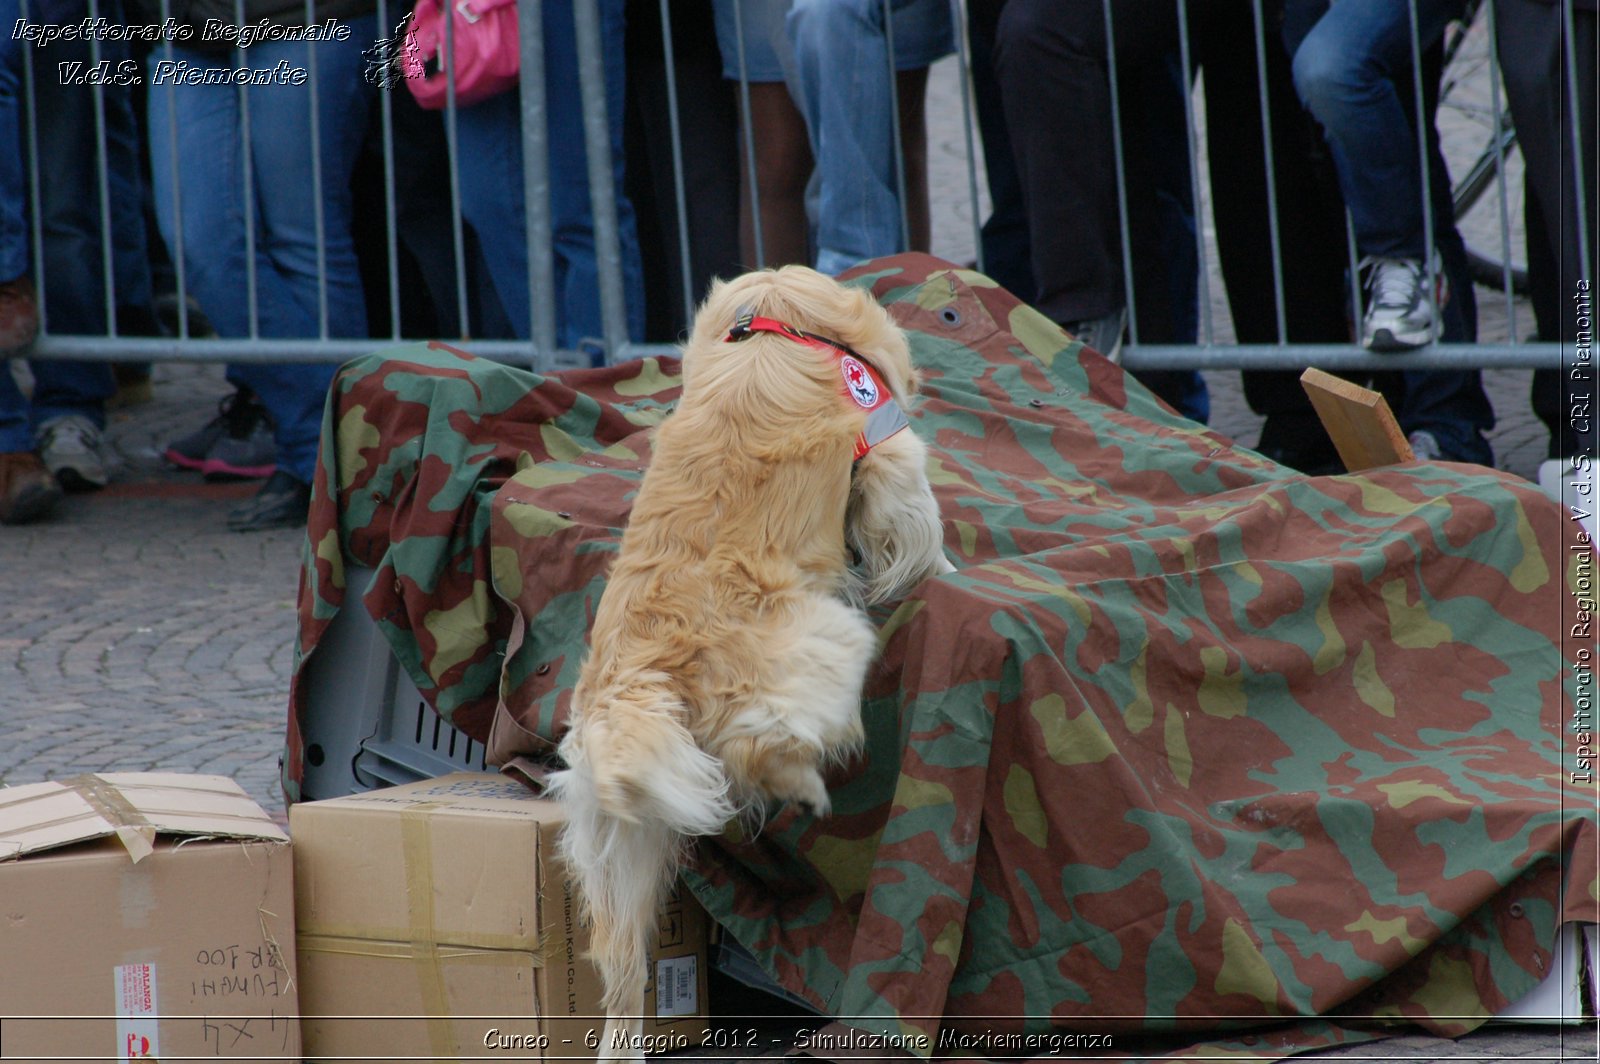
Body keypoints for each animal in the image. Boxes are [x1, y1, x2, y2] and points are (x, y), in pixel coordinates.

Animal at [544, 264, 953, 1056]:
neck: (772, 321)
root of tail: (642, 674)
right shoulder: (891, 454)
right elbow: (921, 531)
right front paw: (950, 572)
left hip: (623, 851)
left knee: (623, 983)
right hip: (827, 642)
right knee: (766, 749)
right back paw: (807, 785)